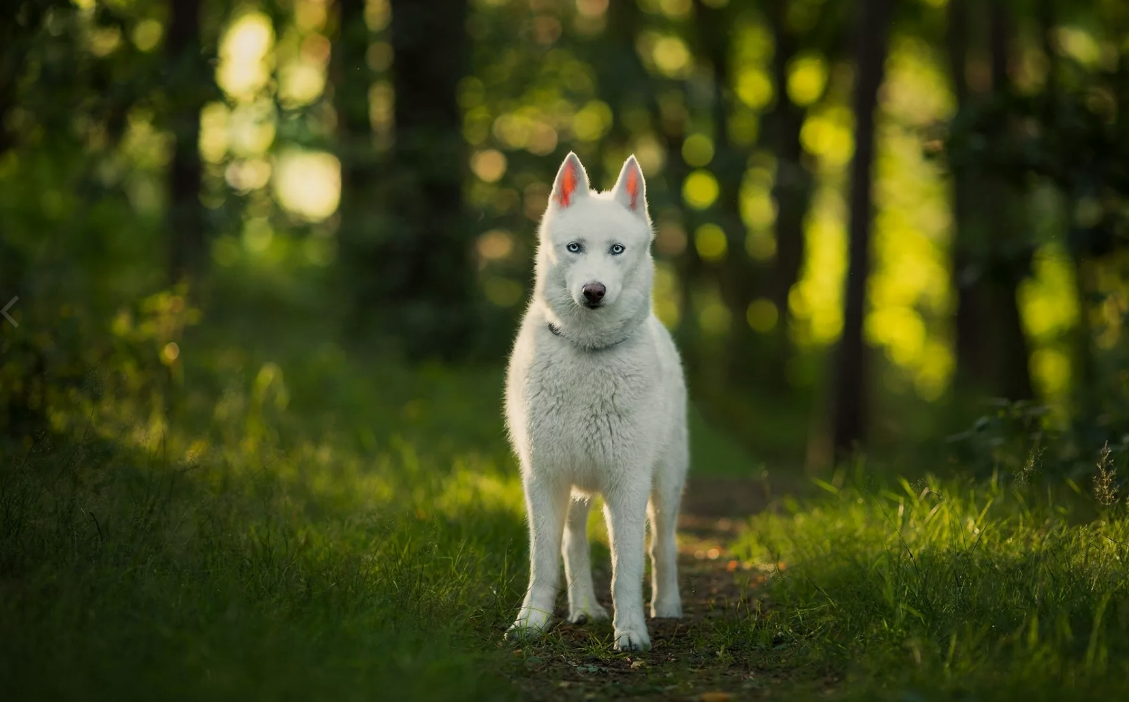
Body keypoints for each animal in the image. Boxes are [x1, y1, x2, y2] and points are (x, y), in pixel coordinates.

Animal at [505, 151, 686, 650]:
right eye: (574, 248)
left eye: (617, 250)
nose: (593, 292)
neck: (586, 353)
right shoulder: (544, 479)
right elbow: (544, 561)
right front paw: (531, 622)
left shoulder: (627, 485)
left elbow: (628, 568)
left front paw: (631, 633)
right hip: (577, 490)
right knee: (574, 545)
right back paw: (584, 608)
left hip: (665, 485)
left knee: (663, 545)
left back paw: (667, 606)